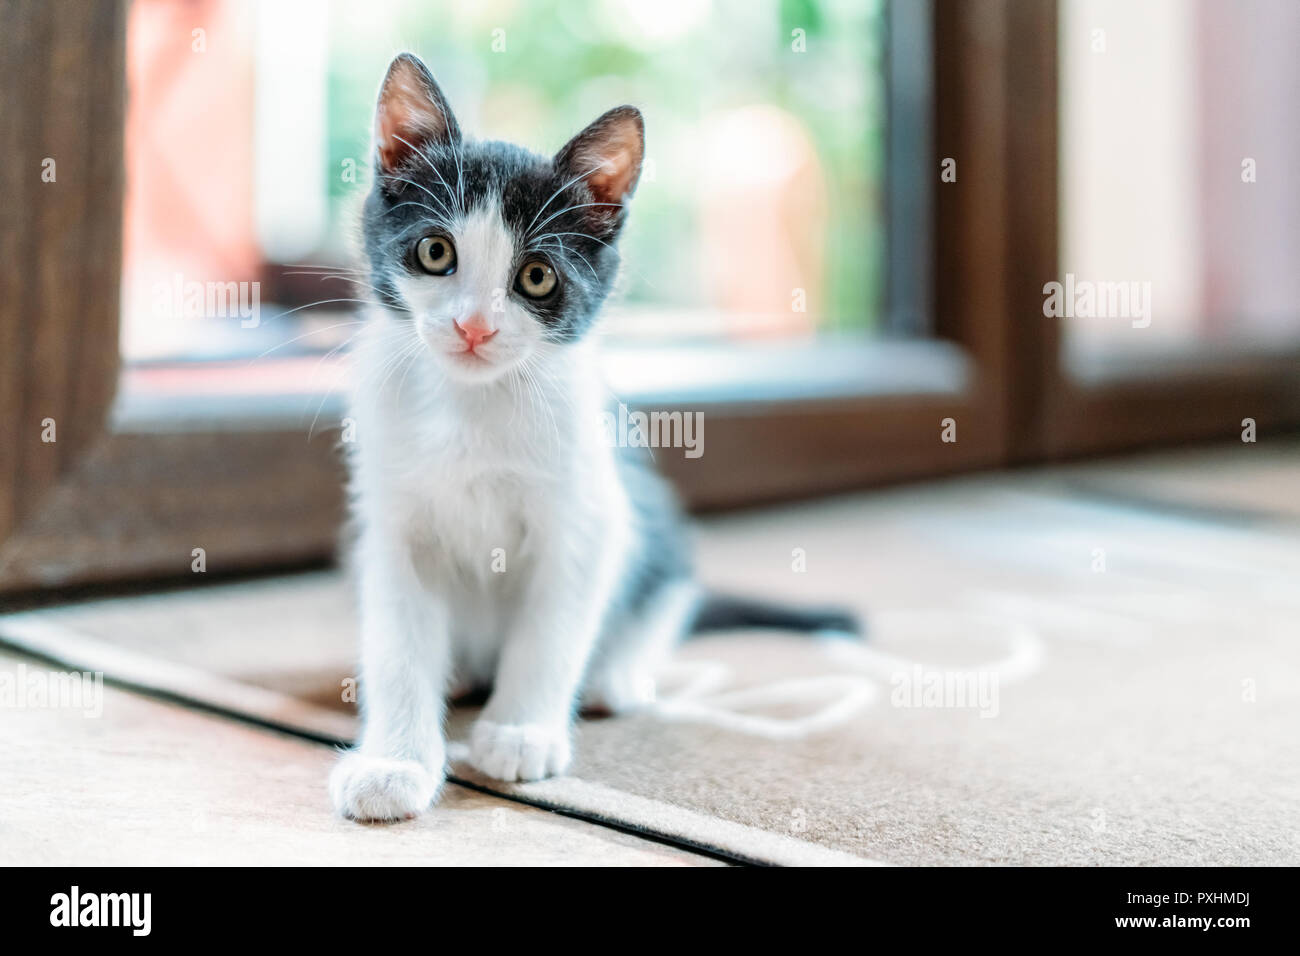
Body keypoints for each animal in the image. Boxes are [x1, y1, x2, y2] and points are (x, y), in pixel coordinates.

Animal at [327, 54, 852, 822]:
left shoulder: (588, 514)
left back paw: (616, 675)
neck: (475, 407)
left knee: (665, 594)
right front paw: (393, 762)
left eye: (536, 276)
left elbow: (553, 628)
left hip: (648, 516)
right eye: (435, 251)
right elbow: (398, 644)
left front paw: (520, 732)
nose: (474, 327)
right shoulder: (392, 523)